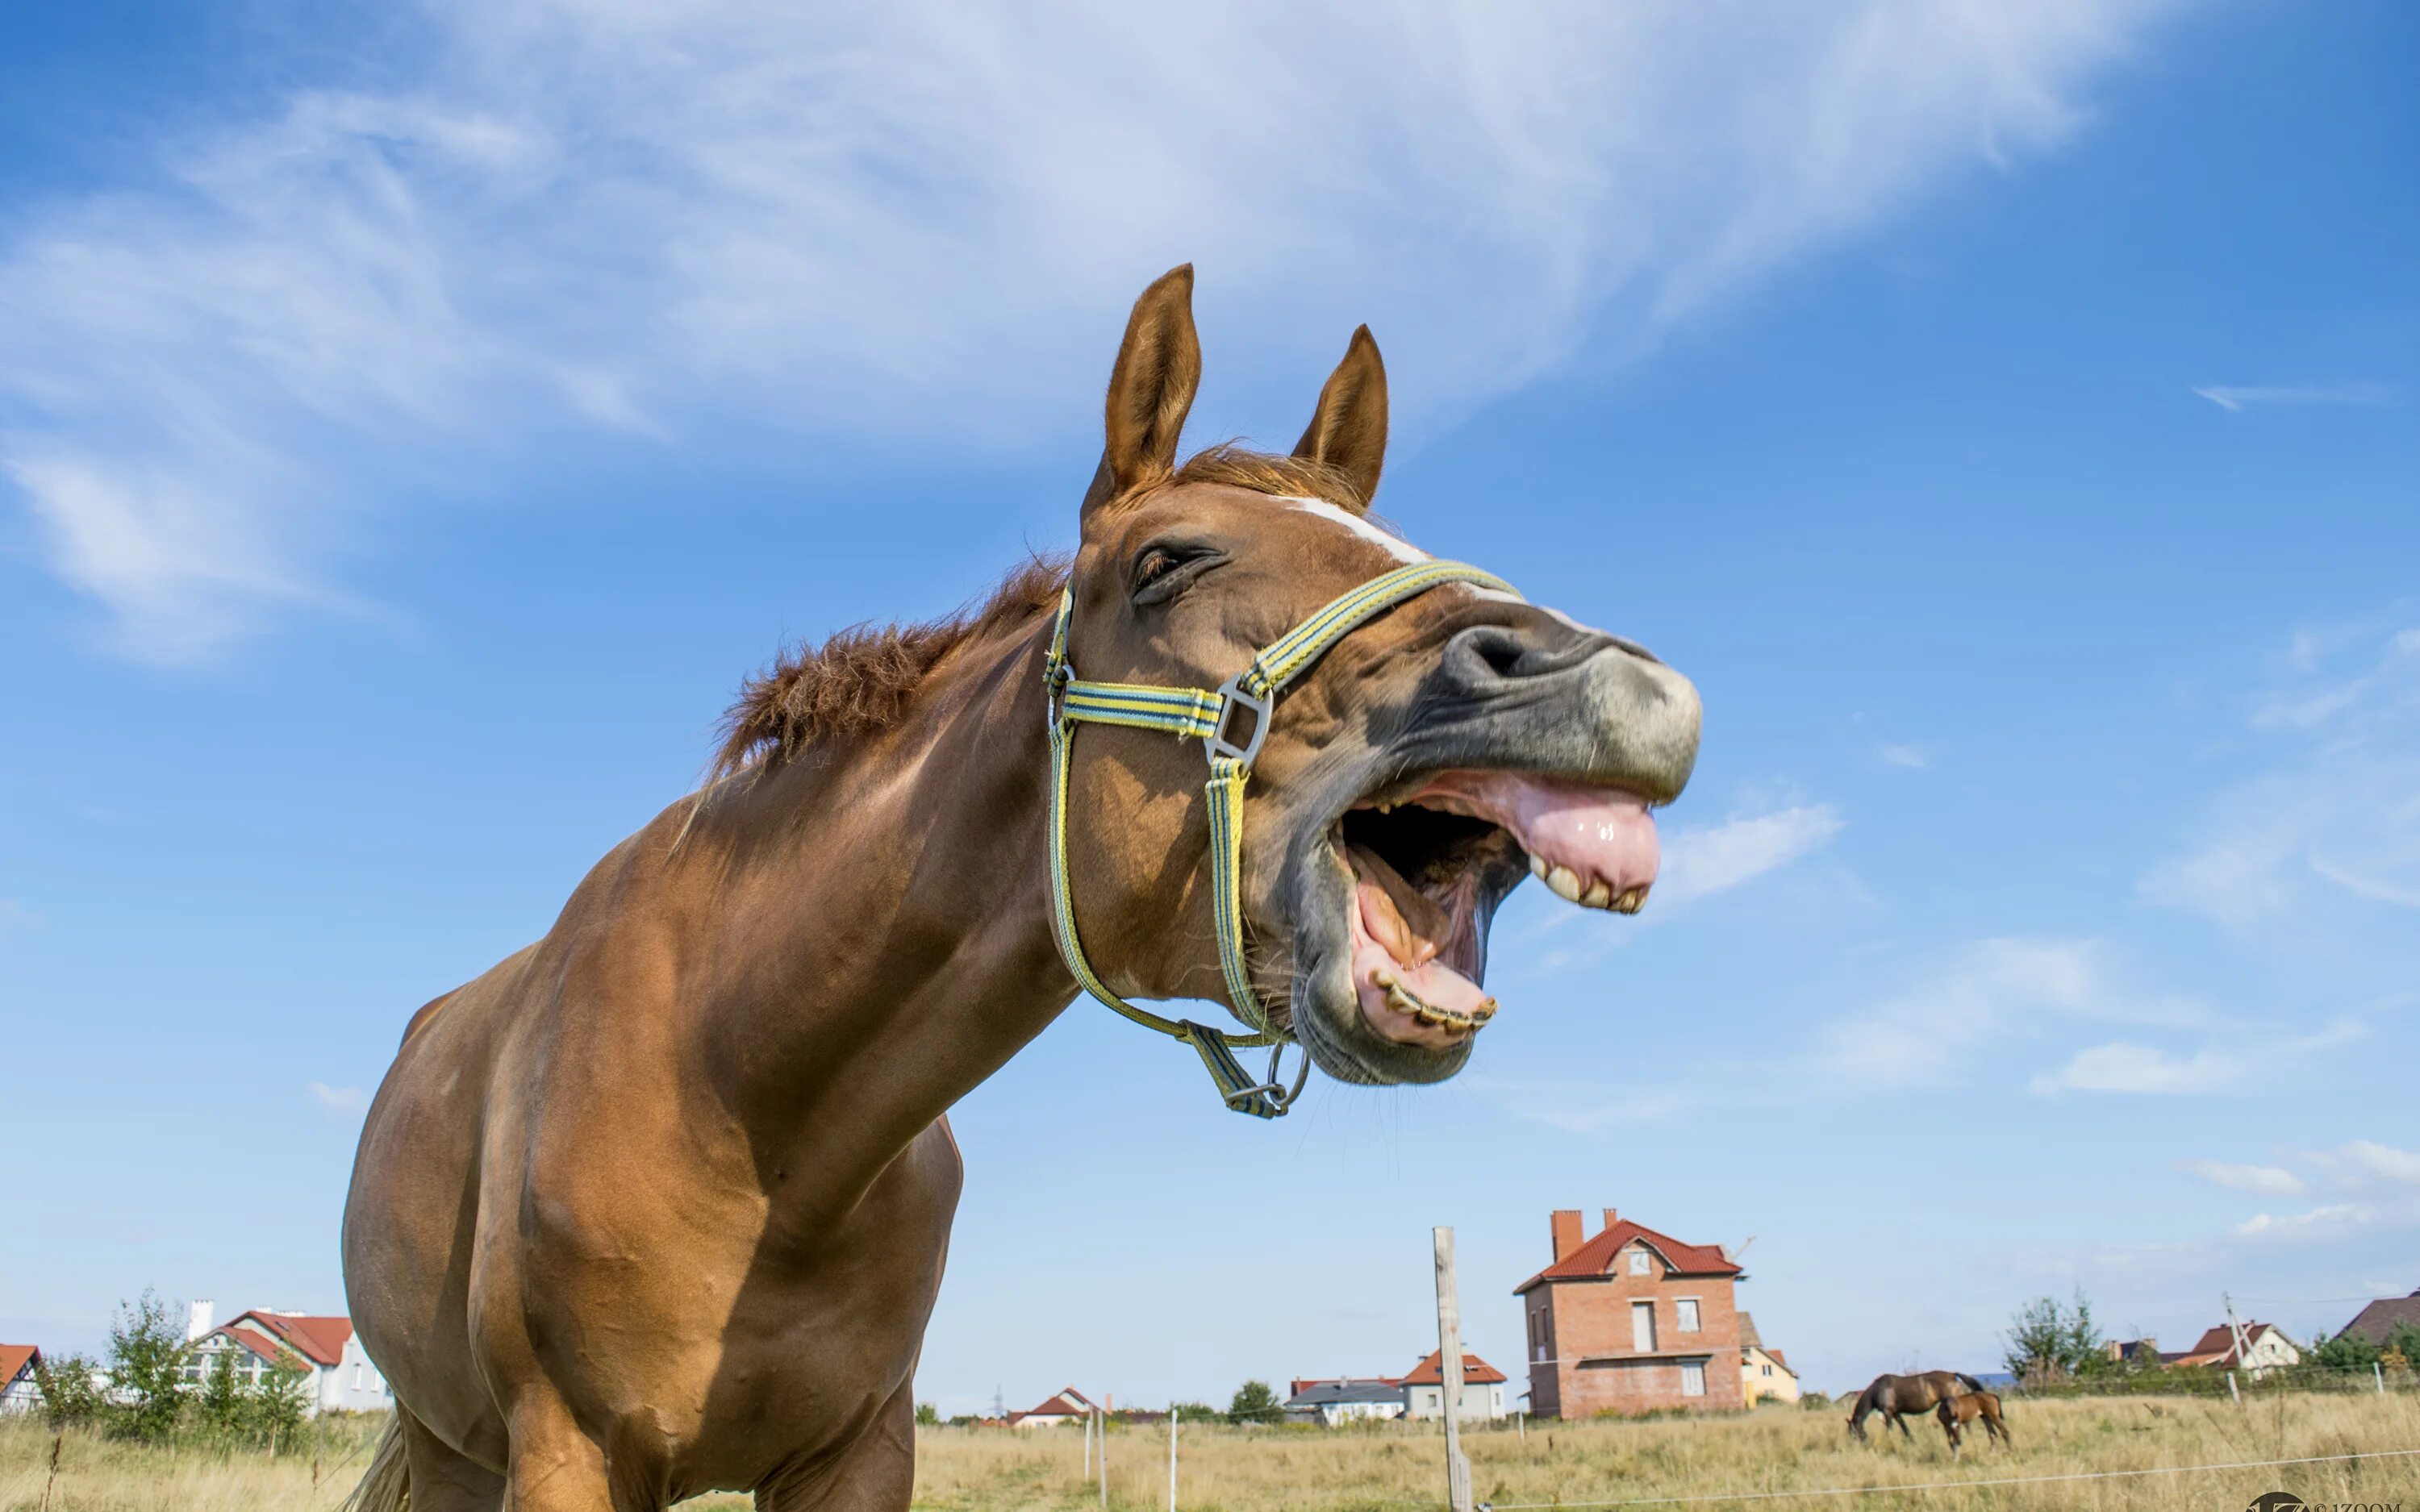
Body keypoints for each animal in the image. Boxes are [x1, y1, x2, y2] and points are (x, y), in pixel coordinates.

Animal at [336, 264, 1704, 1500]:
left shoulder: (862, 1449)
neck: (746, 1106)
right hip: (456, 1449)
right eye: (1166, 562)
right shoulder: (565, 1449)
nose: (1626, 688)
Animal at [1849, 1364, 1984, 1442]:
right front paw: (1912, 1440)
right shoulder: (1896, 1413)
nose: (1856, 1446)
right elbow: (1905, 1428)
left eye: (1853, 1432)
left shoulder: (1888, 1412)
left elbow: (1890, 1429)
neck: (1878, 1390)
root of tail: (1952, 1375)